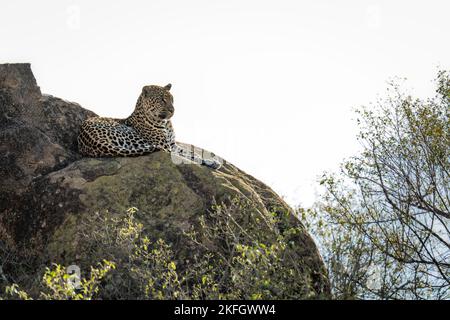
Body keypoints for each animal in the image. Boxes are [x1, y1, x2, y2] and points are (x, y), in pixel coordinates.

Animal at [79, 83, 223, 170]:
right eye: (162, 100)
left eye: (172, 99)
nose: (173, 110)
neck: (164, 122)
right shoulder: (166, 145)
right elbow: (189, 155)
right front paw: (205, 161)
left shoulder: (173, 144)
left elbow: (189, 152)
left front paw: (212, 161)